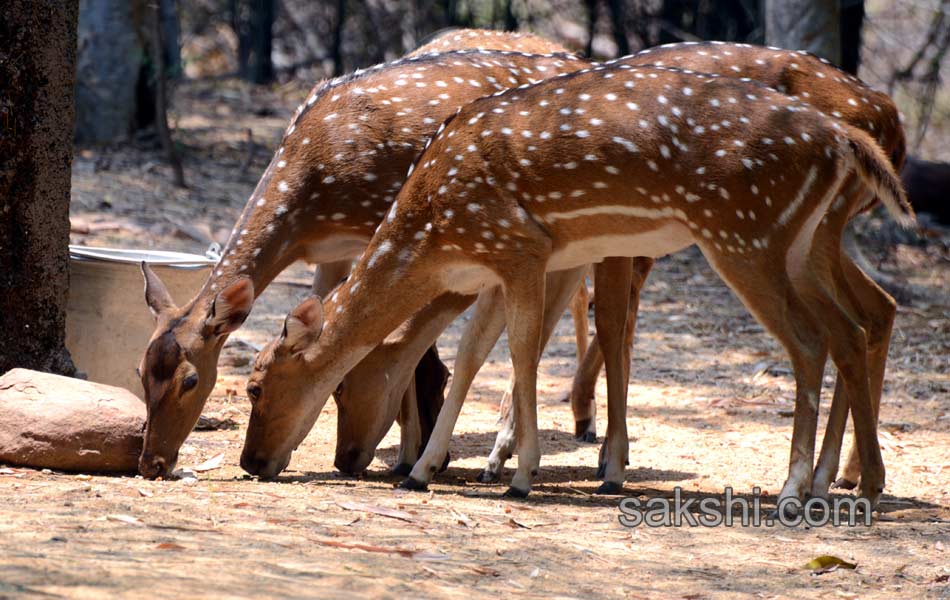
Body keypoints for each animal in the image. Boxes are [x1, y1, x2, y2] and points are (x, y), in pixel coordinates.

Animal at [131, 44, 588, 480]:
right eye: (139, 372)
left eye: (191, 380)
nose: (152, 462)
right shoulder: (331, 253)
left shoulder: (386, 222)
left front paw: (410, 456)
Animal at [238, 59, 916, 502]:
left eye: (256, 385)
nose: (251, 461)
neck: (432, 229)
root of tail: (843, 138)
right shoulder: (506, 262)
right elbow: (474, 353)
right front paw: (423, 470)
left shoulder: (520, 246)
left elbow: (520, 351)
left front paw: (519, 475)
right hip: (801, 244)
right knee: (852, 327)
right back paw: (849, 483)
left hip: (746, 234)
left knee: (808, 341)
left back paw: (797, 488)